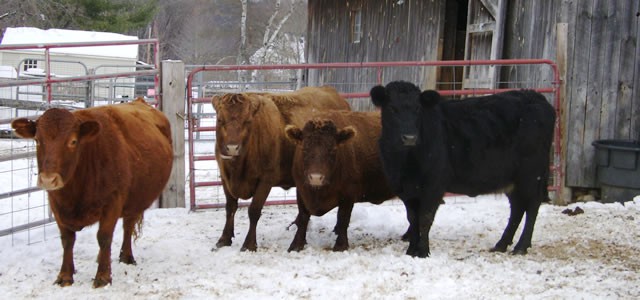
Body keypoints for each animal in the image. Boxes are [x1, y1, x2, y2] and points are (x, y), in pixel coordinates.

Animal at [211, 85, 350, 251]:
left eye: (248, 121)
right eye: (220, 119)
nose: (232, 148)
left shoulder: (266, 180)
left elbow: (254, 210)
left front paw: (249, 244)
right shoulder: (225, 178)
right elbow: (230, 208)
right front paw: (224, 239)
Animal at [284, 111, 398, 252]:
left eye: (333, 149)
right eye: (304, 149)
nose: (316, 178)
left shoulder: (348, 195)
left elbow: (343, 218)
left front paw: (340, 245)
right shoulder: (301, 190)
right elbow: (303, 217)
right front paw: (296, 244)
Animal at [370, 81, 556, 258]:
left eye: (418, 108)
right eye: (392, 108)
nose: (410, 138)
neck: (404, 161)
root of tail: (534, 96)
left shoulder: (434, 184)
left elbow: (424, 218)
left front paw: (422, 251)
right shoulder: (404, 188)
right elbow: (412, 219)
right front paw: (411, 251)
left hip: (532, 174)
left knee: (532, 206)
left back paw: (521, 246)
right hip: (511, 179)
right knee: (517, 208)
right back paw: (501, 244)